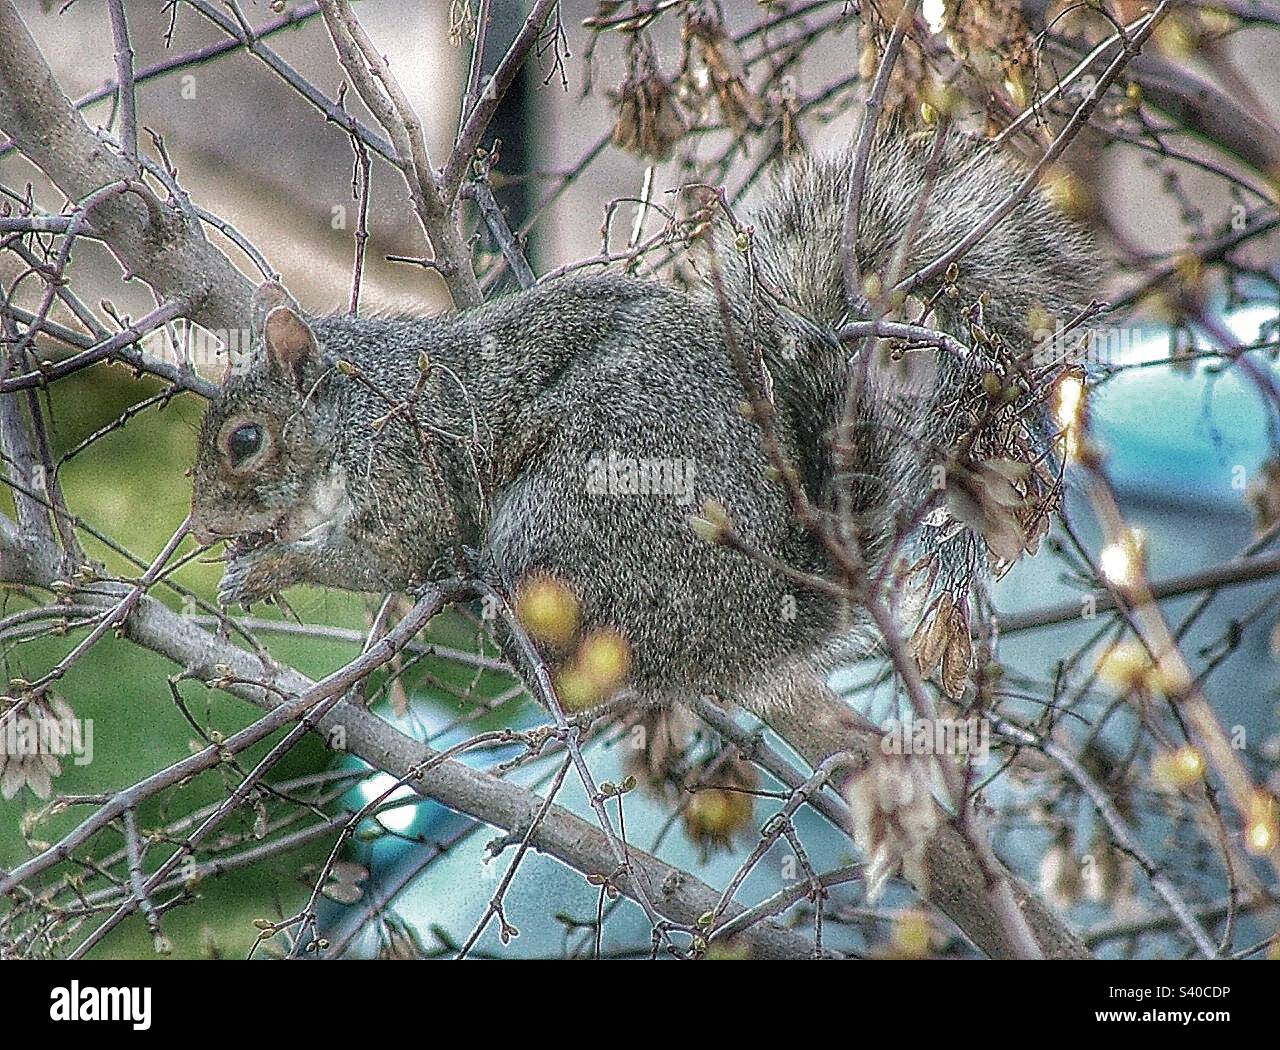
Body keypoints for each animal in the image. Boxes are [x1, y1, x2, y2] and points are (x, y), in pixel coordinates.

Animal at [189, 126, 1098, 751]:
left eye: (245, 440)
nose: (199, 526)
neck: (350, 412)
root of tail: (759, 615)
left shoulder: (410, 468)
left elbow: (385, 558)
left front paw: (275, 565)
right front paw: (249, 564)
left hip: (565, 526)